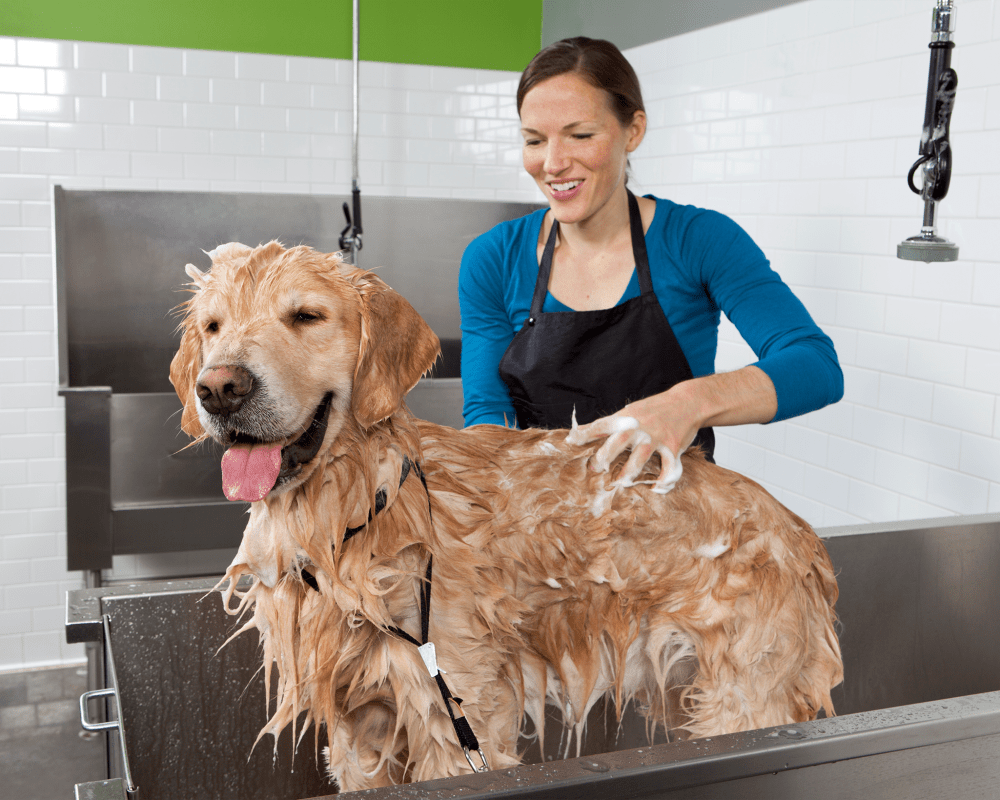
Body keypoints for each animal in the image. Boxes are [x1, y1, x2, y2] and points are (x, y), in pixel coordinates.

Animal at [168, 241, 840, 792]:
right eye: (213, 327)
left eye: (305, 316)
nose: (219, 387)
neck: (354, 517)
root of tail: (794, 527)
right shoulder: (360, 731)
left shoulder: (452, 713)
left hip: (743, 699)